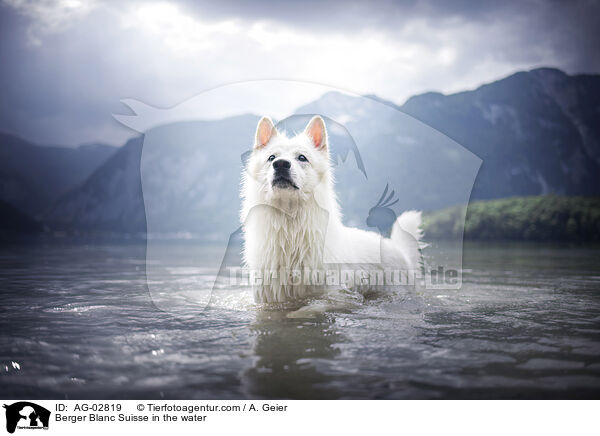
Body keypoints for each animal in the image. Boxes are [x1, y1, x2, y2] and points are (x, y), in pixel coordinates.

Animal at [241, 116, 424, 304]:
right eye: (271, 157)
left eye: (302, 157)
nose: (281, 164)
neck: (290, 226)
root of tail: (401, 252)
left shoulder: (327, 295)